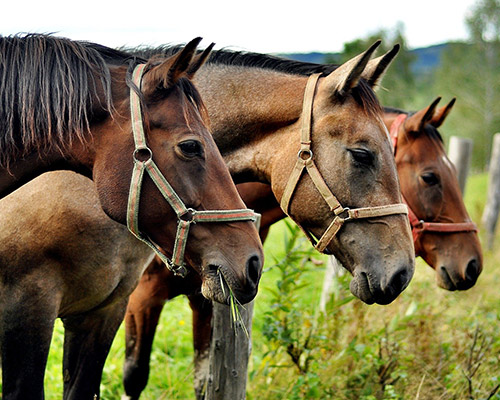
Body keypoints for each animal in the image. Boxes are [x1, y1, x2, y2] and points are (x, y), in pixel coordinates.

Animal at [120, 57, 480, 398]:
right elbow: (134, 376)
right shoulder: (140, 299)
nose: (473, 264)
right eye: (429, 177)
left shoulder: (207, 296)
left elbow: (203, 381)